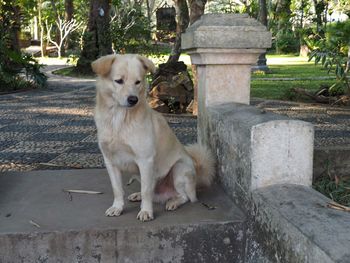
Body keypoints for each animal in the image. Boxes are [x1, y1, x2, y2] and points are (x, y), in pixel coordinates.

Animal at [91, 54, 215, 223]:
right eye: (119, 81)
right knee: (154, 192)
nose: (133, 99)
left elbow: (146, 191)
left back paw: (173, 202)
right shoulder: (110, 161)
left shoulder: (145, 160)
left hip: (179, 169)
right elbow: (117, 189)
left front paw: (146, 211)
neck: (119, 119)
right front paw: (117, 207)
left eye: (138, 82)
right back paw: (138, 196)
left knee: (185, 197)